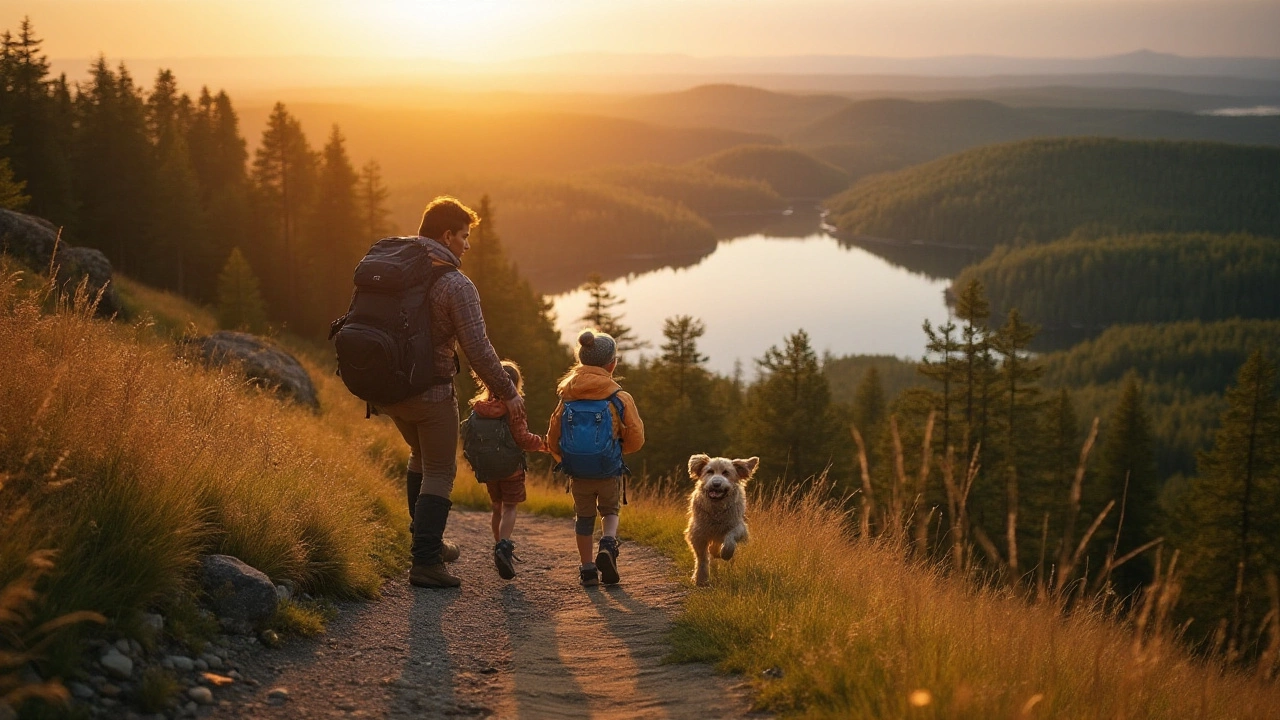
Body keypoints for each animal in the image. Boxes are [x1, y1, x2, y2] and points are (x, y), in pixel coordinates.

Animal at [686, 450, 752, 586]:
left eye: (726, 472)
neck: (717, 509)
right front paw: (701, 578)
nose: (716, 483)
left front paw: (726, 553)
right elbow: (702, 558)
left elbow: (730, 539)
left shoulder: (739, 526)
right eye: (709, 471)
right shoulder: (698, 533)